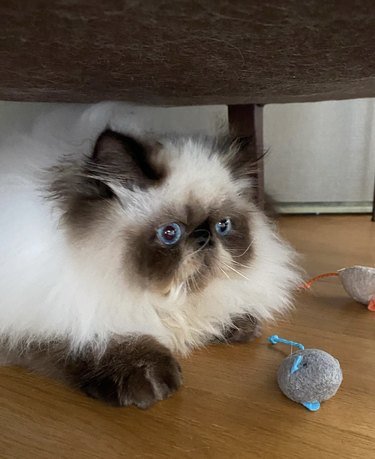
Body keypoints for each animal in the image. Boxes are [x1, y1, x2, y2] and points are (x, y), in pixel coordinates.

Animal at [0, 102, 302, 408]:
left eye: (223, 226)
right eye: (169, 233)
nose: (204, 237)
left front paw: (235, 323)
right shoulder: (49, 314)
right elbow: (89, 338)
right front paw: (149, 378)